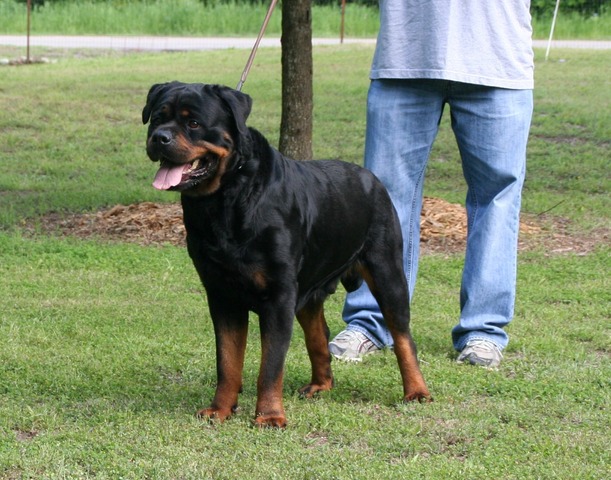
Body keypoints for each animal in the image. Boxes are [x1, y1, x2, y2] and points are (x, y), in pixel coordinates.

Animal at [142, 81, 430, 428]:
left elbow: (270, 365)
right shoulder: (221, 295)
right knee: (318, 335)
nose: (159, 137)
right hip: (307, 293)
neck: (226, 199)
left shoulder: (278, 296)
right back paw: (321, 385)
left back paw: (416, 390)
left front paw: (268, 415)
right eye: (157, 118)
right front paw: (220, 409)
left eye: (193, 123)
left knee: (403, 336)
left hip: (387, 272)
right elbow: (227, 360)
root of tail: (372, 179)